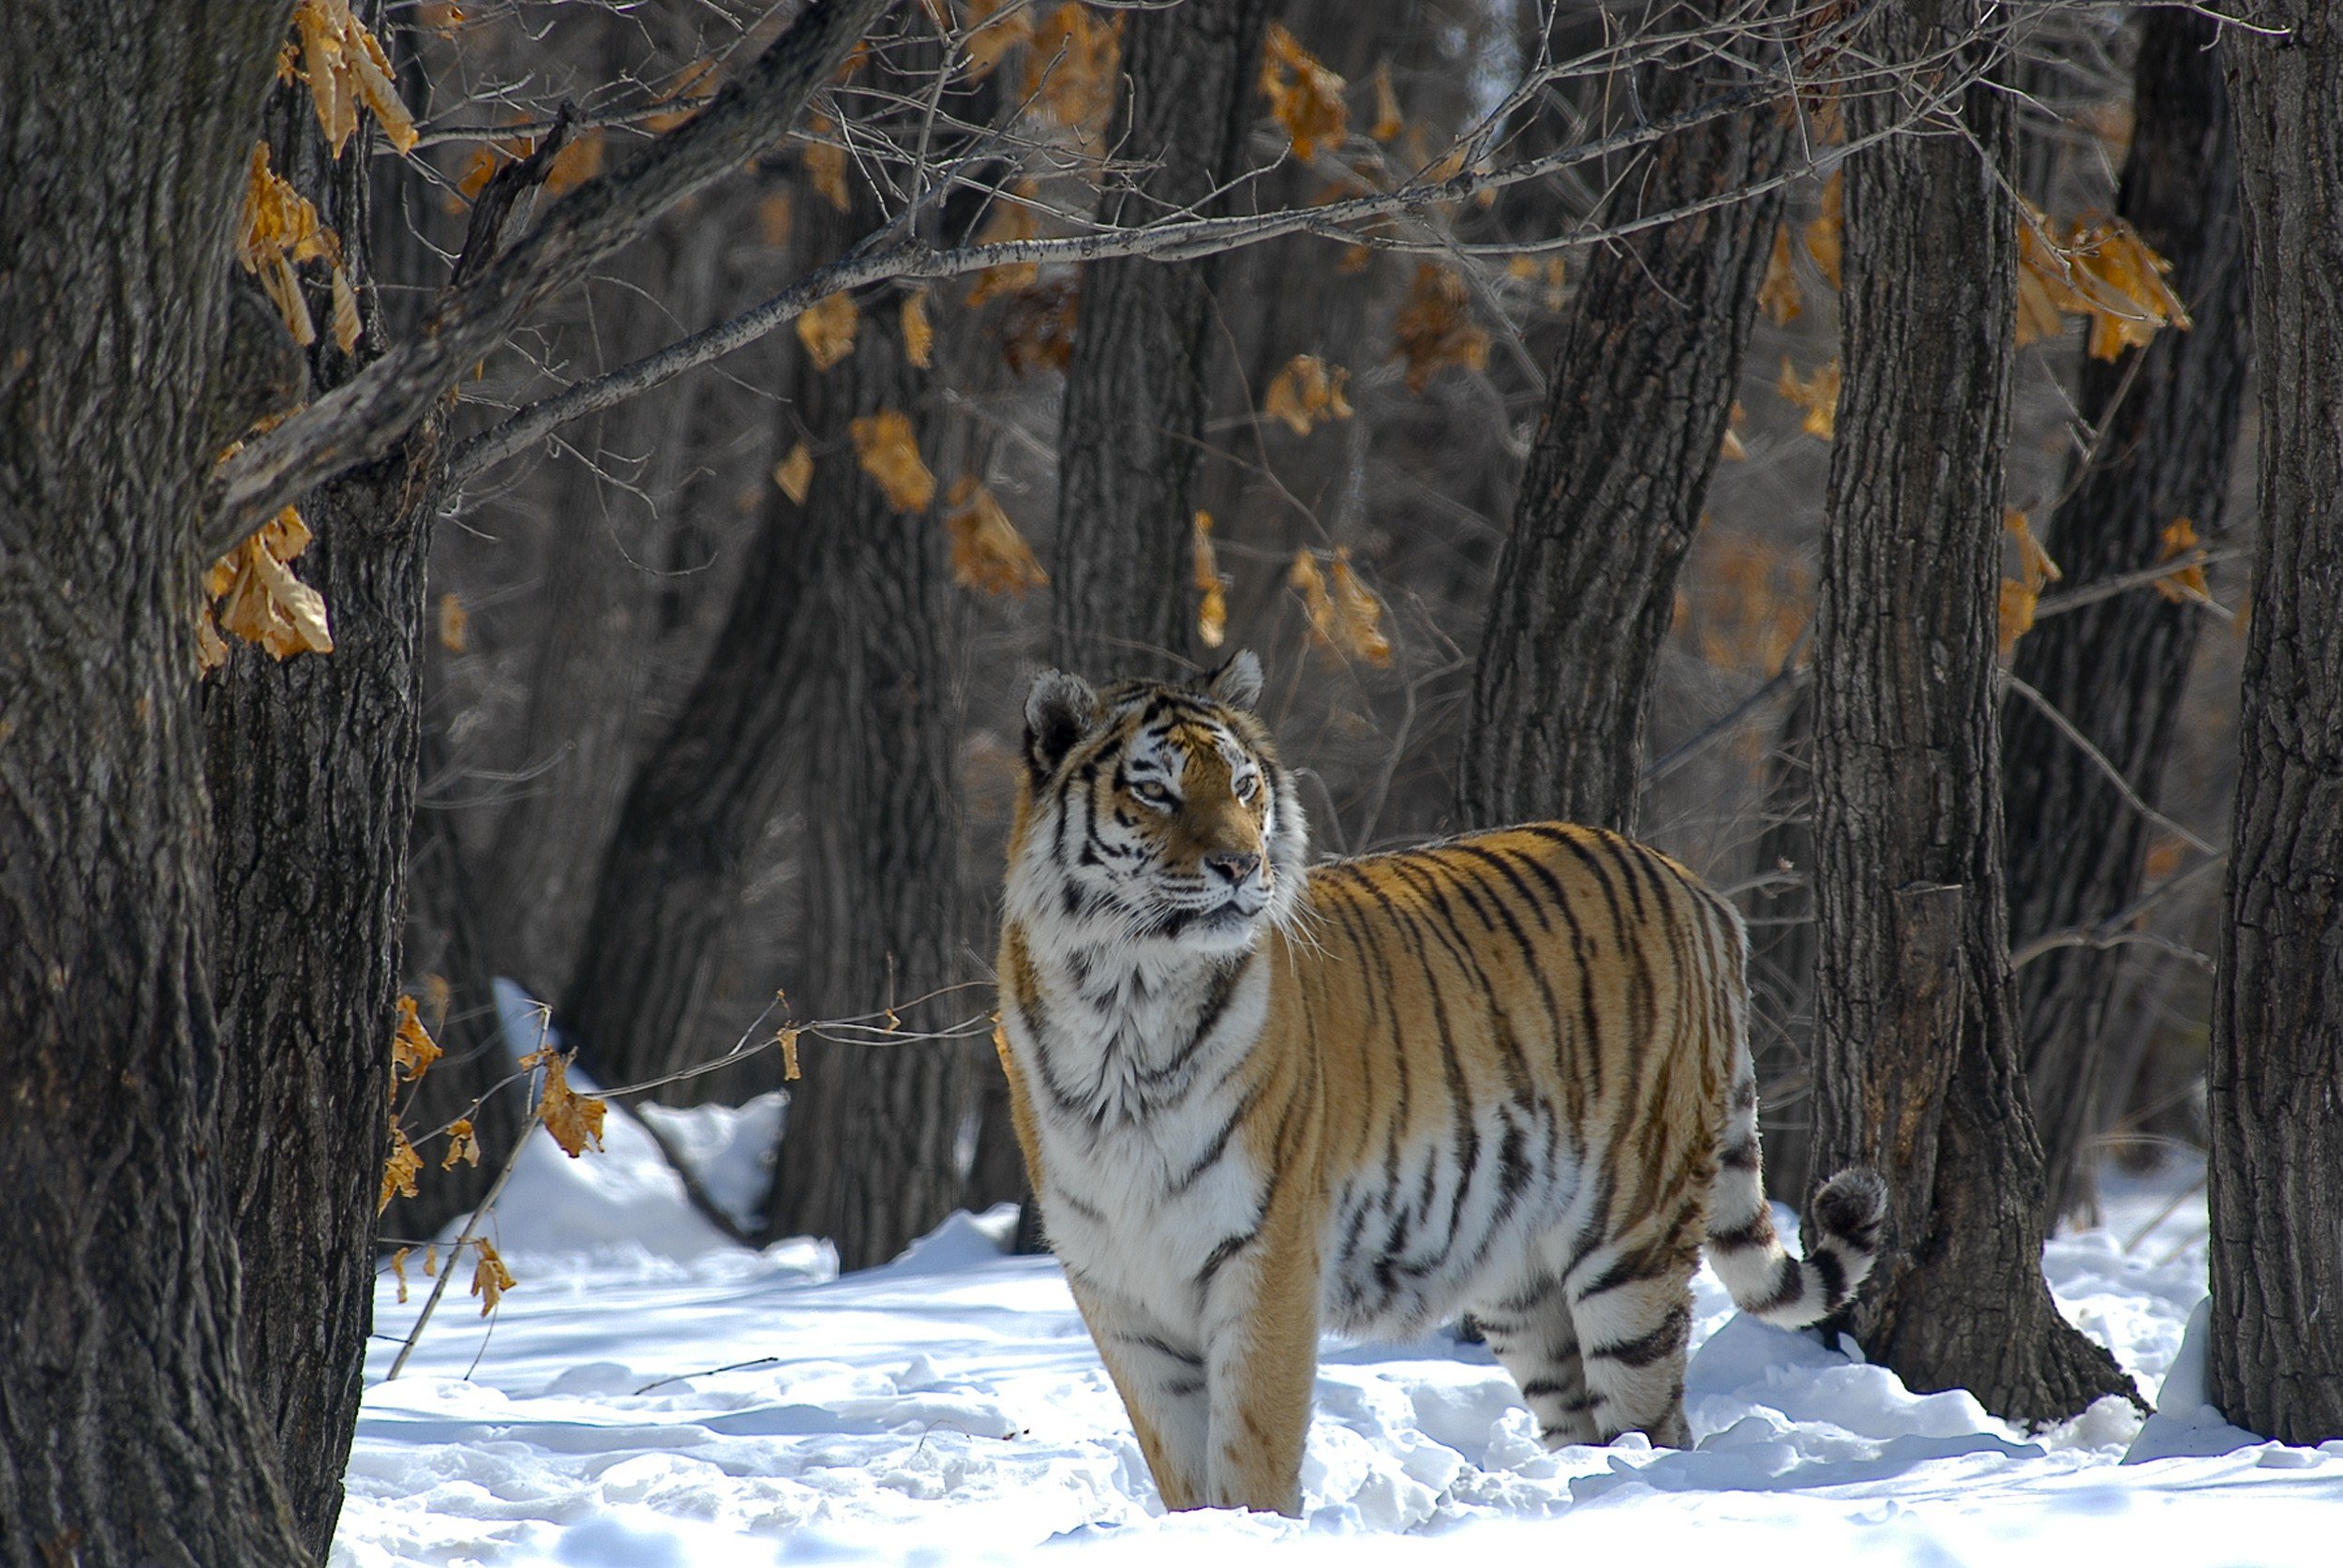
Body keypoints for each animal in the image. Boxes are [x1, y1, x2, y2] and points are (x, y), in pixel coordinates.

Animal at [993, 651, 1884, 1518]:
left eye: (1244, 786)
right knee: (1581, 1414)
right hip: (1520, 1278)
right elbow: (1180, 1468)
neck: (1124, 1004)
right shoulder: (1119, 1288)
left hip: (1631, 1236)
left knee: (1655, 1420)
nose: (1242, 864)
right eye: (1155, 790)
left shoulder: (1265, 1255)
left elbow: (1252, 1449)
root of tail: (1696, 888)